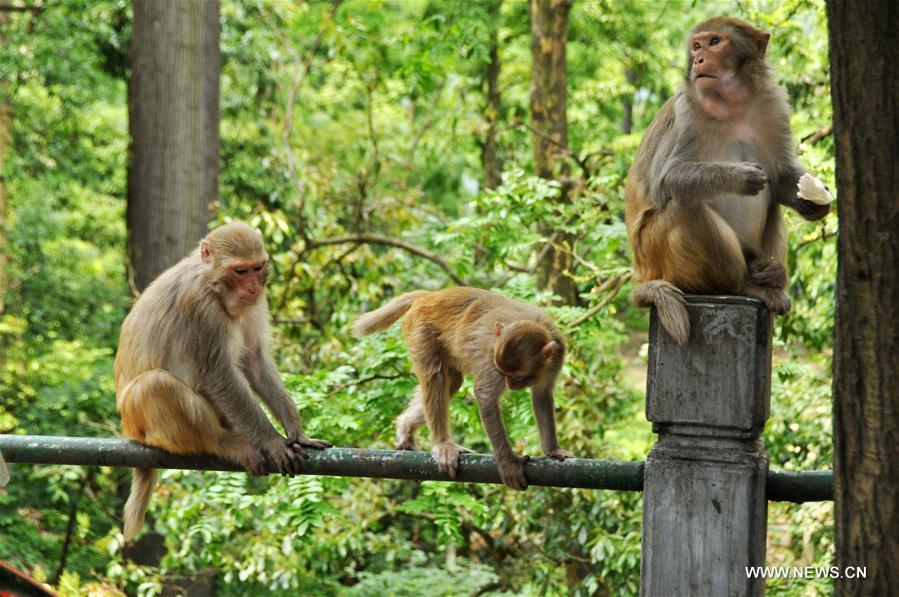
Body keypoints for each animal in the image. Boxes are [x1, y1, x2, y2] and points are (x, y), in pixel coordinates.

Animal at [352, 288, 568, 488]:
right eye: (505, 374)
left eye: (518, 377)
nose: (510, 384)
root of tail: (431, 295)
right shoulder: (491, 357)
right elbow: (485, 396)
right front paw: (507, 464)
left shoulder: (557, 352)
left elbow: (542, 394)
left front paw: (552, 450)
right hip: (420, 331)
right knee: (435, 377)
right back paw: (442, 443)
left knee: (453, 381)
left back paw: (405, 427)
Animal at [624, 15, 836, 344]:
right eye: (696, 45)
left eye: (714, 42)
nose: (699, 59)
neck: (732, 105)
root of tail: (641, 270)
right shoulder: (687, 111)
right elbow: (668, 178)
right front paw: (740, 177)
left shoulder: (772, 105)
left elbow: (779, 179)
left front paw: (814, 202)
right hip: (656, 253)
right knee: (686, 205)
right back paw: (743, 286)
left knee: (772, 205)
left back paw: (773, 277)